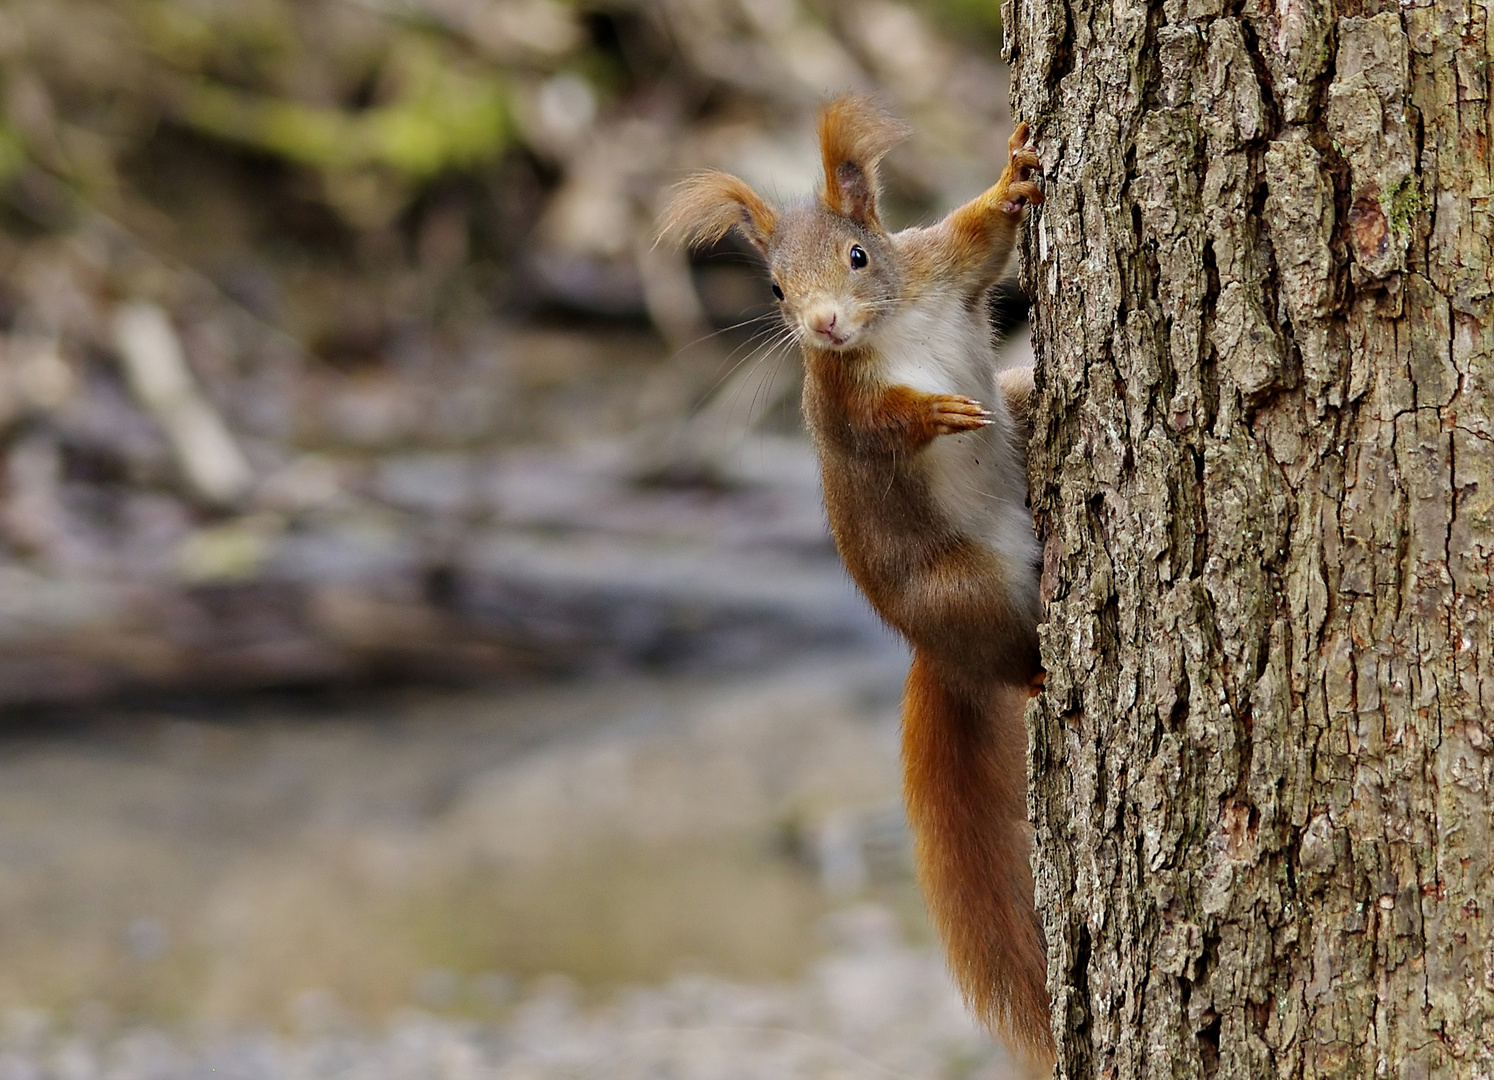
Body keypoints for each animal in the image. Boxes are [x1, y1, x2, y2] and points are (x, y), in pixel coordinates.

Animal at [666, 95, 1051, 1063]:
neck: (890, 327)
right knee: (1005, 657)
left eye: (858, 255)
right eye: (773, 290)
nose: (824, 327)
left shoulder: (941, 269)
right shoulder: (843, 405)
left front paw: (1013, 173)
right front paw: (936, 411)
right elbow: (885, 427)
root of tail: (932, 650)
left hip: (1018, 398)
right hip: (960, 588)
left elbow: (981, 235)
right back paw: (1035, 674)